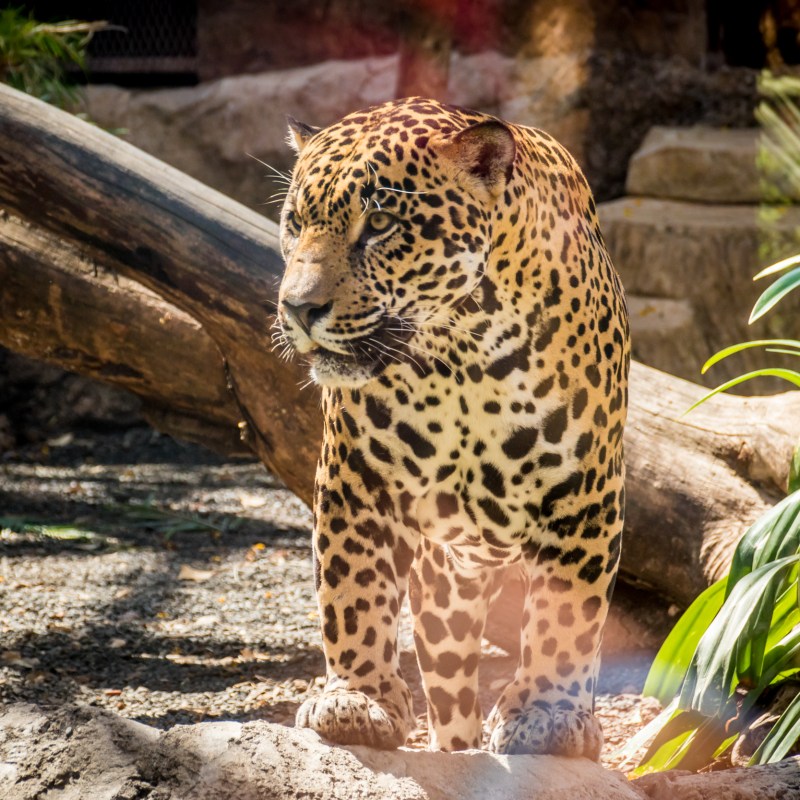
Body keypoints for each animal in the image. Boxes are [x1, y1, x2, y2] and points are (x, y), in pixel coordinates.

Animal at [276, 97, 629, 759]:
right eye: (294, 222)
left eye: (380, 223)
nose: (298, 309)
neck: (460, 352)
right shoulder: (354, 477)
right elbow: (352, 593)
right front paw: (356, 699)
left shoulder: (585, 493)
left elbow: (565, 620)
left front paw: (547, 714)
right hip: (444, 591)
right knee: (449, 692)